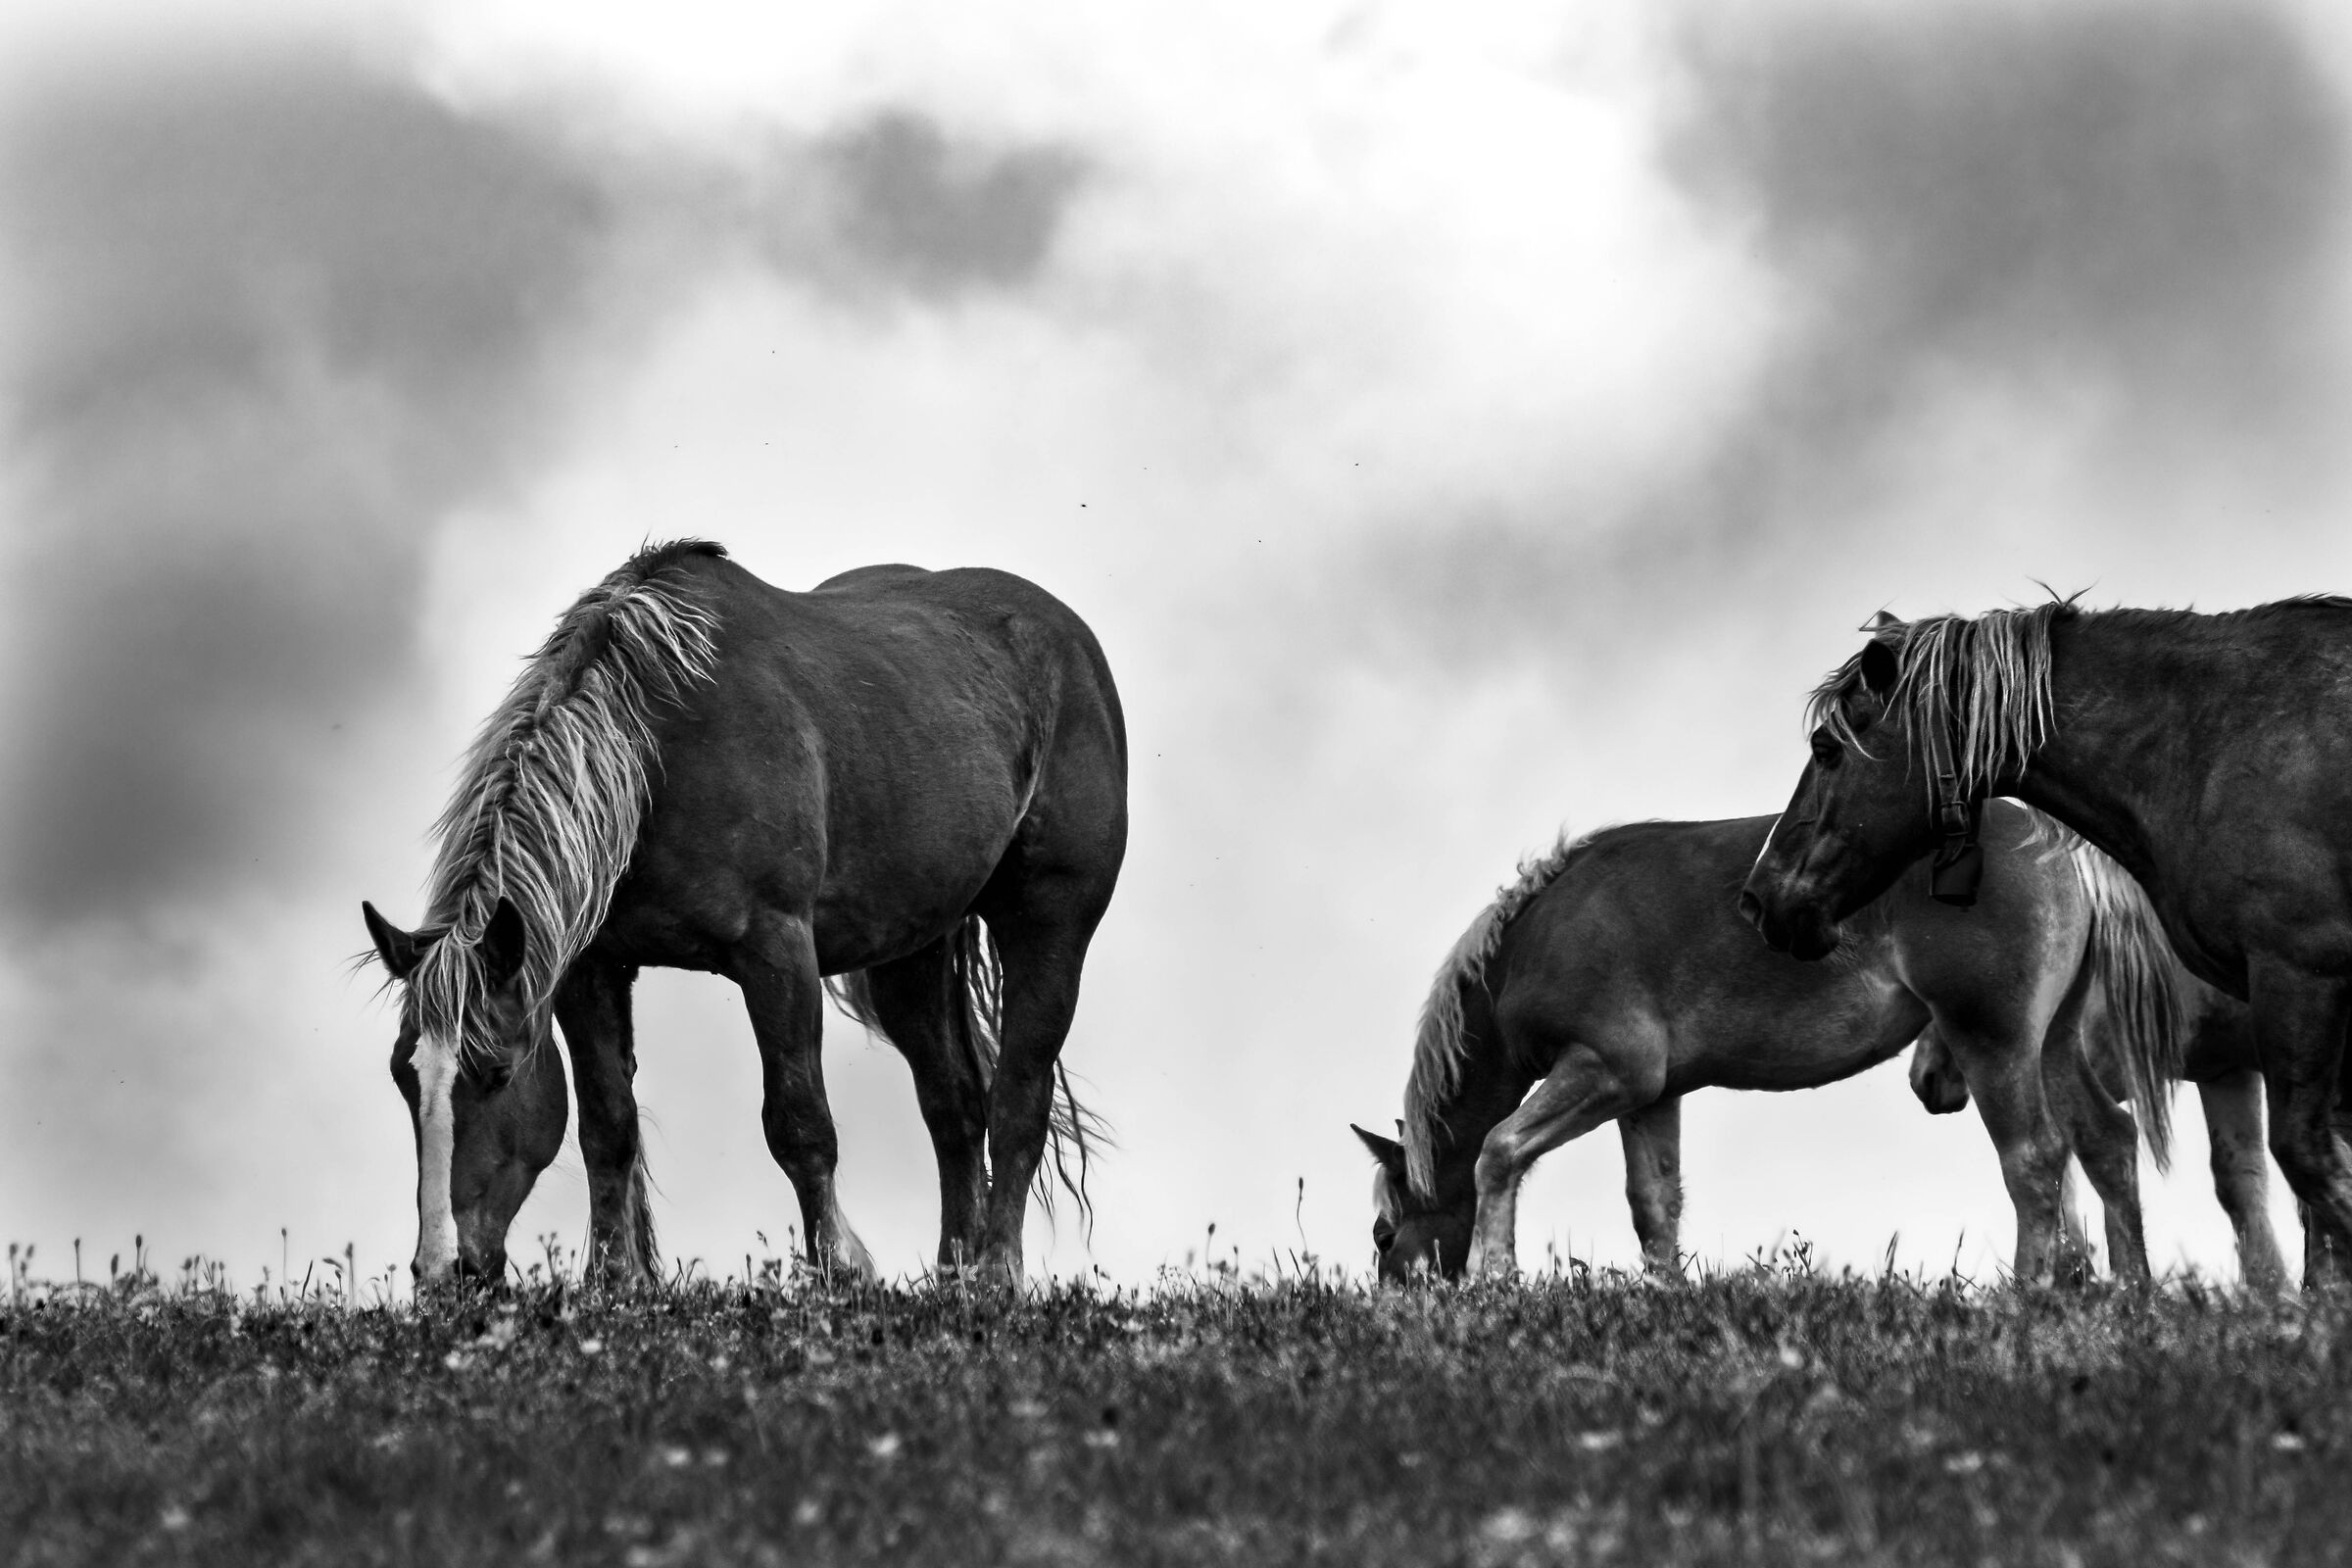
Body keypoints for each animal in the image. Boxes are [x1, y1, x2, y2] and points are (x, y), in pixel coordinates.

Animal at [361, 541, 1128, 1287]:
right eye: (403, 1076)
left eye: (493, 1073)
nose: (442, 1268)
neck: (656, 756)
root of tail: (1070, 640)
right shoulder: (590, 968)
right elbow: (608, 1126)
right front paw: (614, 1285)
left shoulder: (777, 953)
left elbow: (800, 1124)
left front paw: (840, 1273)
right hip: (912, 952)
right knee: (954, 1109)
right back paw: (956, 1279)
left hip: (1049, 926)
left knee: (1018, 1101)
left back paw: (997, 1276)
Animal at [1351, 802, 2178, 1286]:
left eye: (1384, 1233)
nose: (1394, 1305)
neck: (1539, 933)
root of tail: (2056, 839)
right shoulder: (1649, 1096)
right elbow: (1654, 1205)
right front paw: (1665, 1301)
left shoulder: (1603, 1072)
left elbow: (1498, 1152)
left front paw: (1497, 1284)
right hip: (2053, 1041)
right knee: (2107, 1143)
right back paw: (2131, 1299)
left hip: (1996, 1042)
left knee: (2035, 1160)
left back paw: (2030, 1301)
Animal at [1739, 600, 2352, 1279]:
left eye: (1826, 749)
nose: (1759, 897)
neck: (2208, 745)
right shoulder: (2243, 1055)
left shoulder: (2298, 977)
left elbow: (2306, 1161)